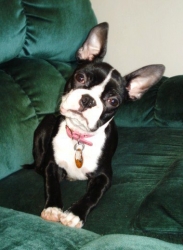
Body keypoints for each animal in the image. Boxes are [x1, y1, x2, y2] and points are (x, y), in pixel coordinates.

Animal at [28, 22, 164, 228]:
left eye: (113, 101)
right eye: (80, 78)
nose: (88, 99)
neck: (79, 137)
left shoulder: (104, 176)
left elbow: (93, 195)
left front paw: (74, 214)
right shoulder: (52, 165)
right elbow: (51, 184)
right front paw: (53, 208)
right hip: (46, 124)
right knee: (38, 165)